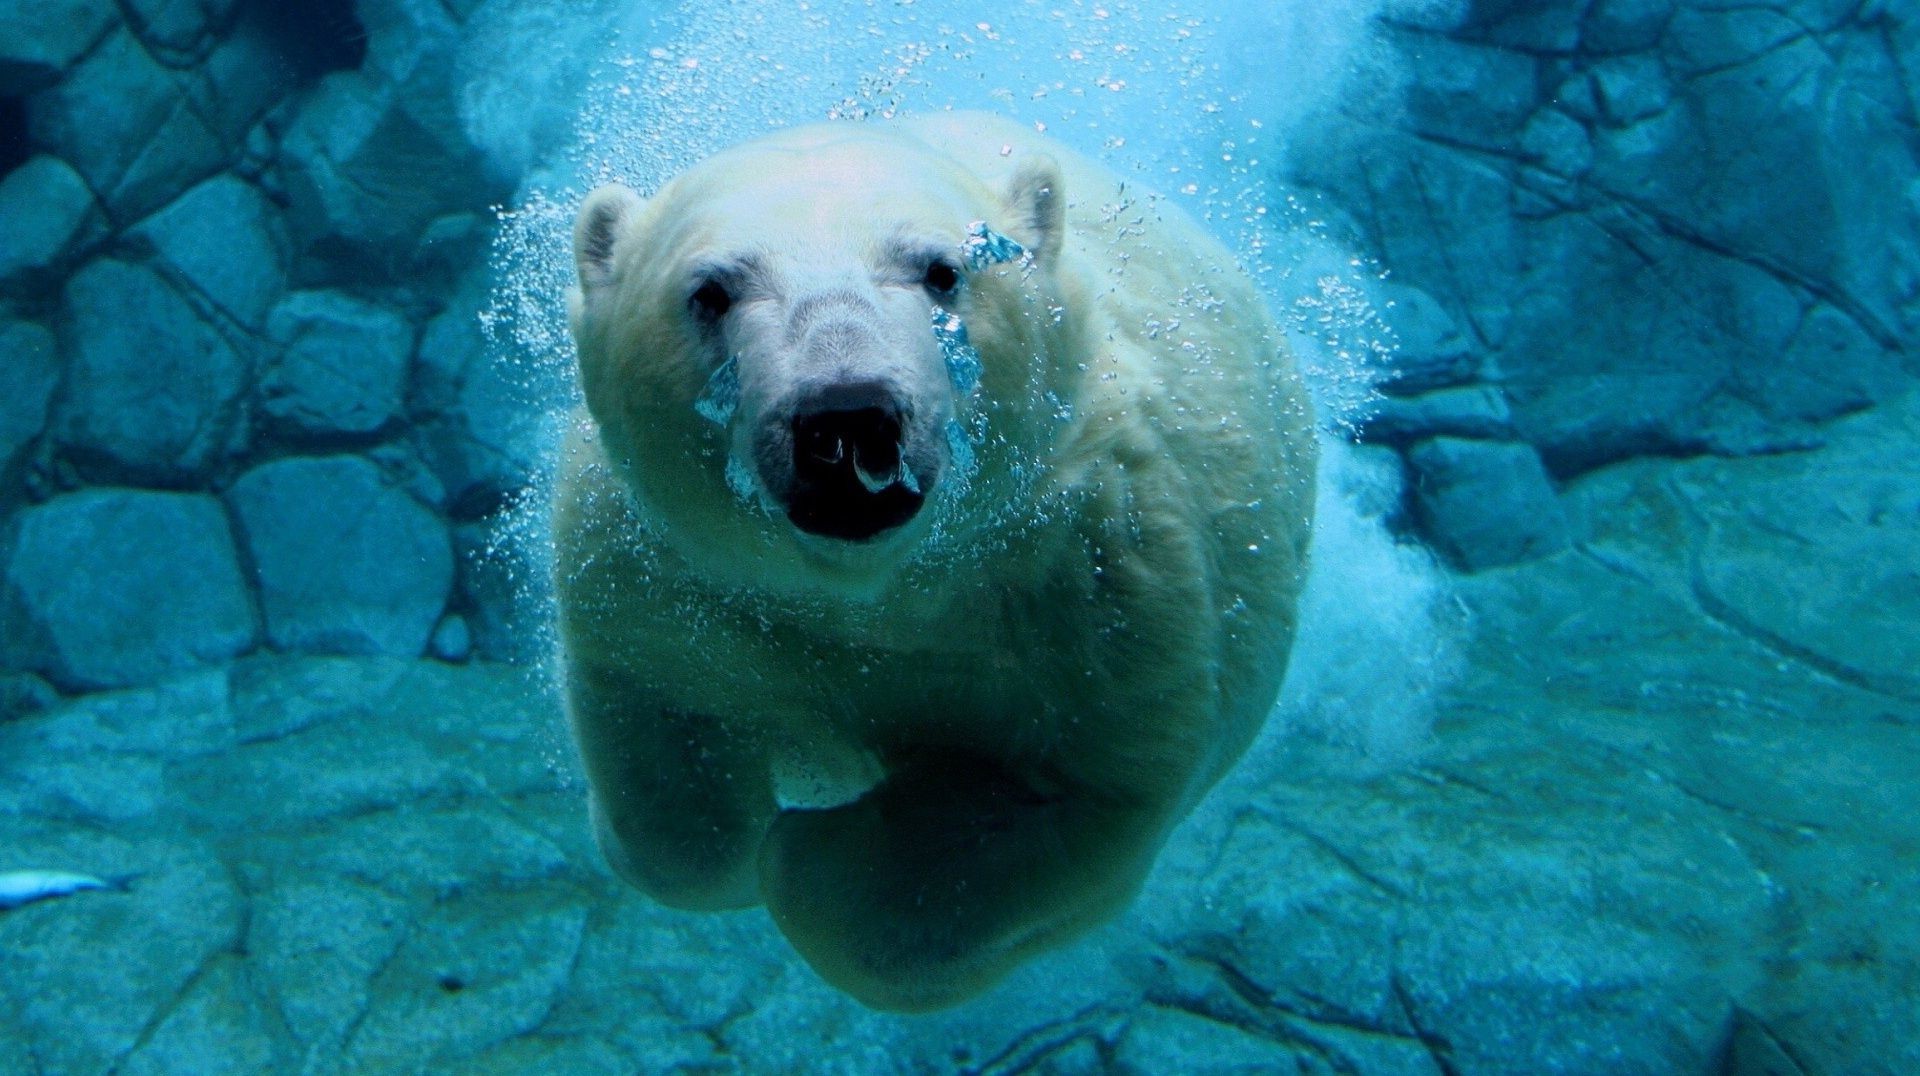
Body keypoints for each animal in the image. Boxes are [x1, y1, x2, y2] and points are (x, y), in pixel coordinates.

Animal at [552, 113, 1305, 1014]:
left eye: (944, 271)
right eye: (710, 291)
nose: (845, 417)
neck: (883, 592)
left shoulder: (1100, 584)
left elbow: (1073, 798)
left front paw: (811, 850)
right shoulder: (668, 574)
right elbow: (663, 743)